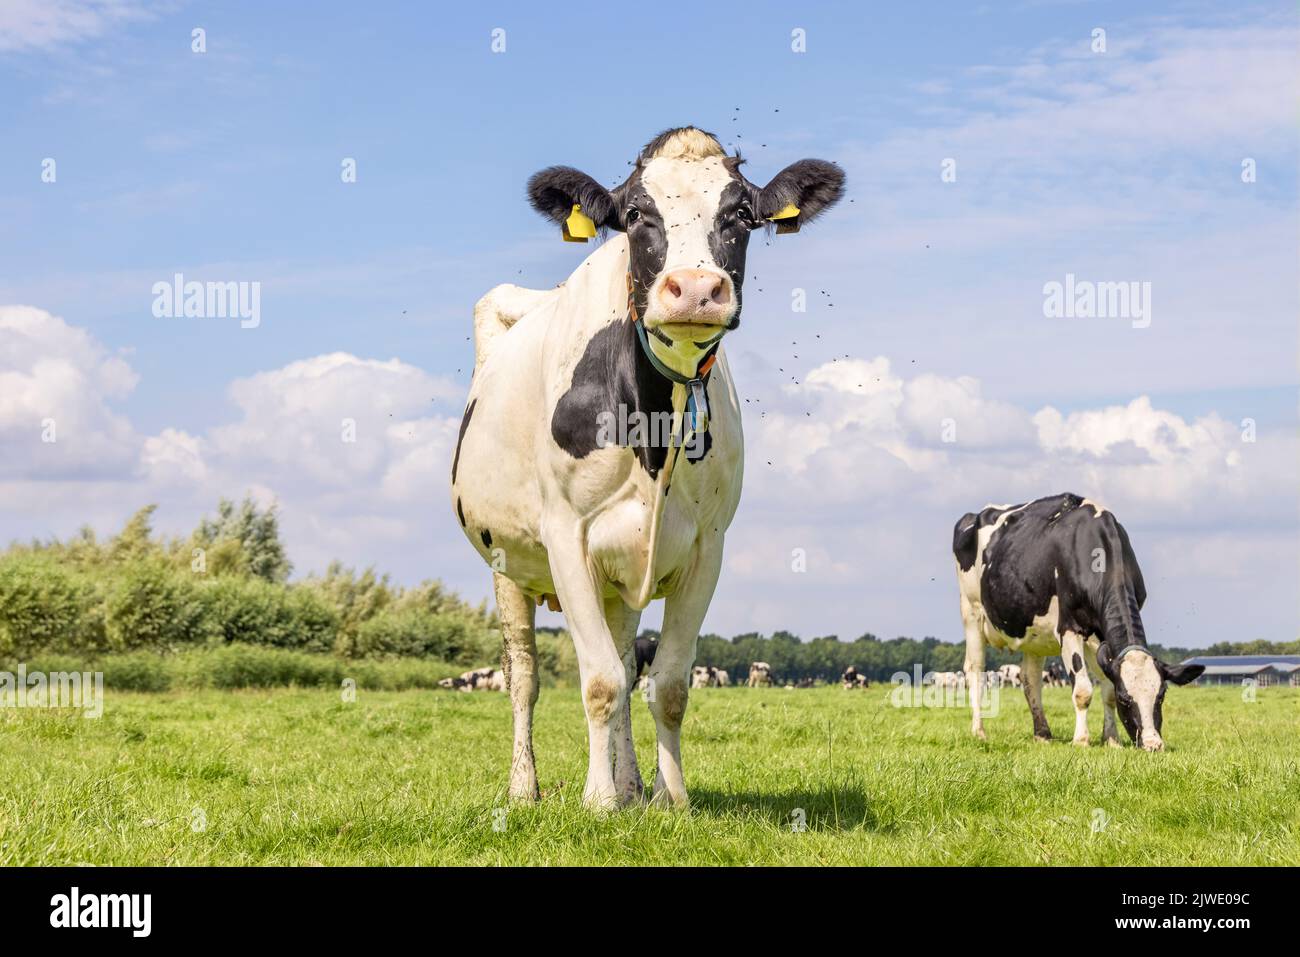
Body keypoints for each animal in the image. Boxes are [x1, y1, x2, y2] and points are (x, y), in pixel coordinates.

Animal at [450, 127, 845, 808]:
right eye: (635, 215)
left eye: (741, 214)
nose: (695, 289)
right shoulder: (566, 537)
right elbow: (599, 681)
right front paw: (598, 801)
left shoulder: (706, 547)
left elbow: (667, 684)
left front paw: (669, 798)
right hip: (505, 563)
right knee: (524, 674)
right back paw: (526, 788)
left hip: (622, 576)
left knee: (629, 660)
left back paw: (632, 783)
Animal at [953, 493, 1204, 750]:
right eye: (1126, 699)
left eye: (1161, 695)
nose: (1153, 744)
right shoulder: (1069, 627)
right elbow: (1083, 690)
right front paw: (1081, 740)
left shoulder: (1099, 633)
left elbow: (1106, 688)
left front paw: (1111, 739)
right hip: (971, 612)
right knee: (975, 671)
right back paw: (979, 732)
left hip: (1034, 633)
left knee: (1030, 679)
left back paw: (1043, 734)